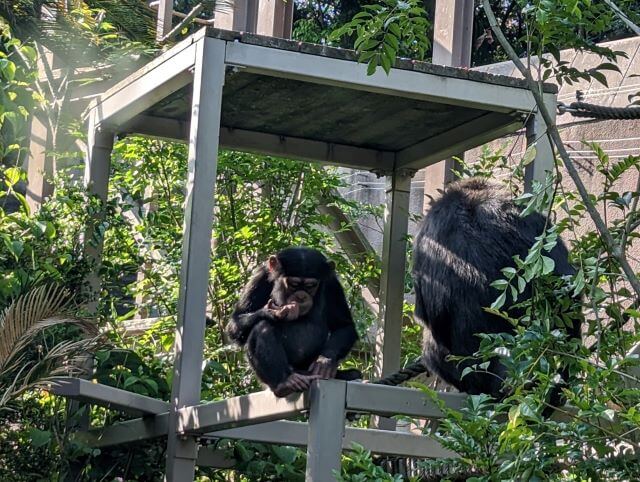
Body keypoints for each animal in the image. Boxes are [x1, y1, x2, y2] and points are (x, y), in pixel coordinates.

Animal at [226, 247, 360, 398]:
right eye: (293, 284)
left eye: (311, 286)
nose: (301, 296)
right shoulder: (260, 276)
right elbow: (235, 322)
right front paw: (273, 312)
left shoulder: (333, 284)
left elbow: (344, 325)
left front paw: (325, 361)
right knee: (263, 326)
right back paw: (285, 382)